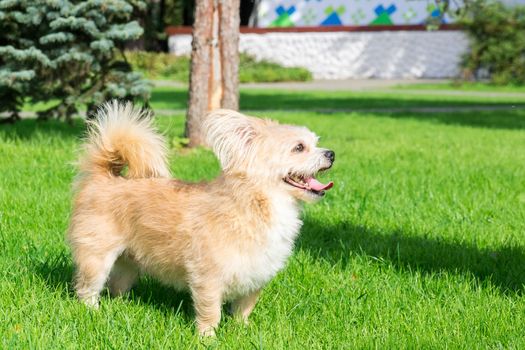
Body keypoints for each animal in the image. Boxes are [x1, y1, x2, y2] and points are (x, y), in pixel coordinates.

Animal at [67, 102, 334, 336]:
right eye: (299, 148)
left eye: (316, 143)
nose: (331, 153)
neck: (255, 204)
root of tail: (104, 177)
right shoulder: (208, 279)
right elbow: (211, 312)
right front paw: (208, 337)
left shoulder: (255, 277)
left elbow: (244, 308)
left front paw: (242, 330)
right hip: (97, 258)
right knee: (87, 288)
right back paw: (93, 312)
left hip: (128, 262)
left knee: (117, 286)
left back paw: (119, 307)